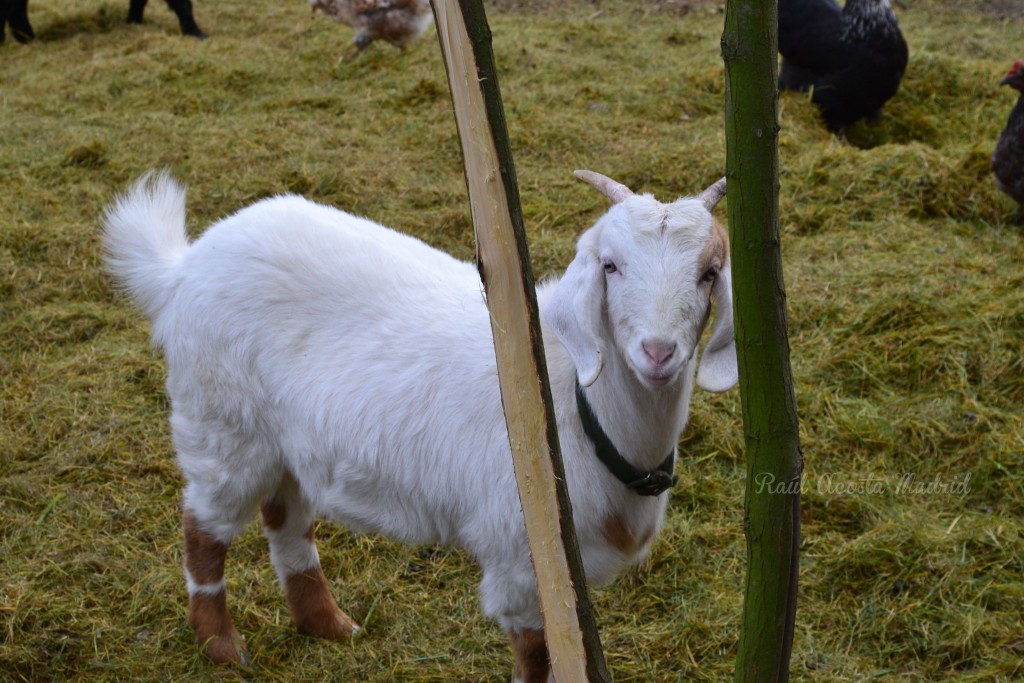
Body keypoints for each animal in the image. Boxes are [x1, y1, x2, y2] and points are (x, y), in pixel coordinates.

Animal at [101, 167, 737, 679]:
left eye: (710, 272)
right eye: (610, 266)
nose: (658, 353)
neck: (572, 405)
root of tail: (182, 267)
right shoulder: (521, 560)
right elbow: (536, 656)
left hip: (290, 444)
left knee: (286, 521)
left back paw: (330, 626)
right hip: (223, 421)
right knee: (203, 527)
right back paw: (223, 646)